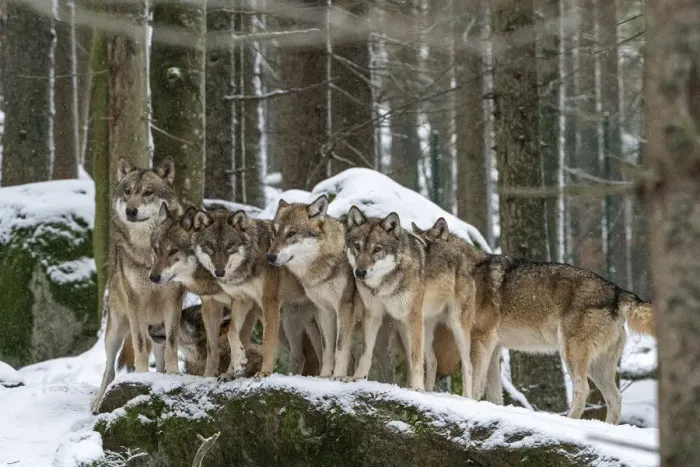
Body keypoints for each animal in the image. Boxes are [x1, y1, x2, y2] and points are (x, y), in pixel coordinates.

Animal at [91, 157, 185, 414]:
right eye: (128, 192)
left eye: (148, 192)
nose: (130, 211)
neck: (148, 255)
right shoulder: (136, 303)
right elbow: (140, 346)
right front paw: (142, 377)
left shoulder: (173, 302)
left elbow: (173, 344)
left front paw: (174, 375)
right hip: (114, 332)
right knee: (109, 370)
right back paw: (98, 402)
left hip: (157, 329)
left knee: (160, 355)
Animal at [193, 209, 308, 379]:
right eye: (210, 245)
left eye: (230, 245)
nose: (219, 272)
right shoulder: (242, 300)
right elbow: (232, 332)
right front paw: (236, 366)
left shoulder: (269, 302)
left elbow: (266, 343)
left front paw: (265, 372)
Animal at [266, 195, 363, 379]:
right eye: (274, 233)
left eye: (291, 233)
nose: (270, 256)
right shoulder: (324, 310)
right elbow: (327, 349)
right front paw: (324, 377)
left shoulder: (344, 308)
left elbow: (340, 348)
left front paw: (338, 376)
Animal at [345, 207, 427, 390]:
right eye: (357, 246)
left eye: (377, 249)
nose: (360, 272)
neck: (383, 285)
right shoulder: (372, 314)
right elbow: (366, 351)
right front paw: (357, 378)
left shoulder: (415, 317)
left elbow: (417, 357)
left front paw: (418, 388)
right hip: (403, 328)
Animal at [415, 219, 656, 424]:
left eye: (423, 247)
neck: (465, 273)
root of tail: (617, 291)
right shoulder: (494, 348)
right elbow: (494, 395)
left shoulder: (481, 341)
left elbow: (474, 385)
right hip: (598, 365)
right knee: (614, 398)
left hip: (571, 354)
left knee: (583, 391)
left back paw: (570, 422)